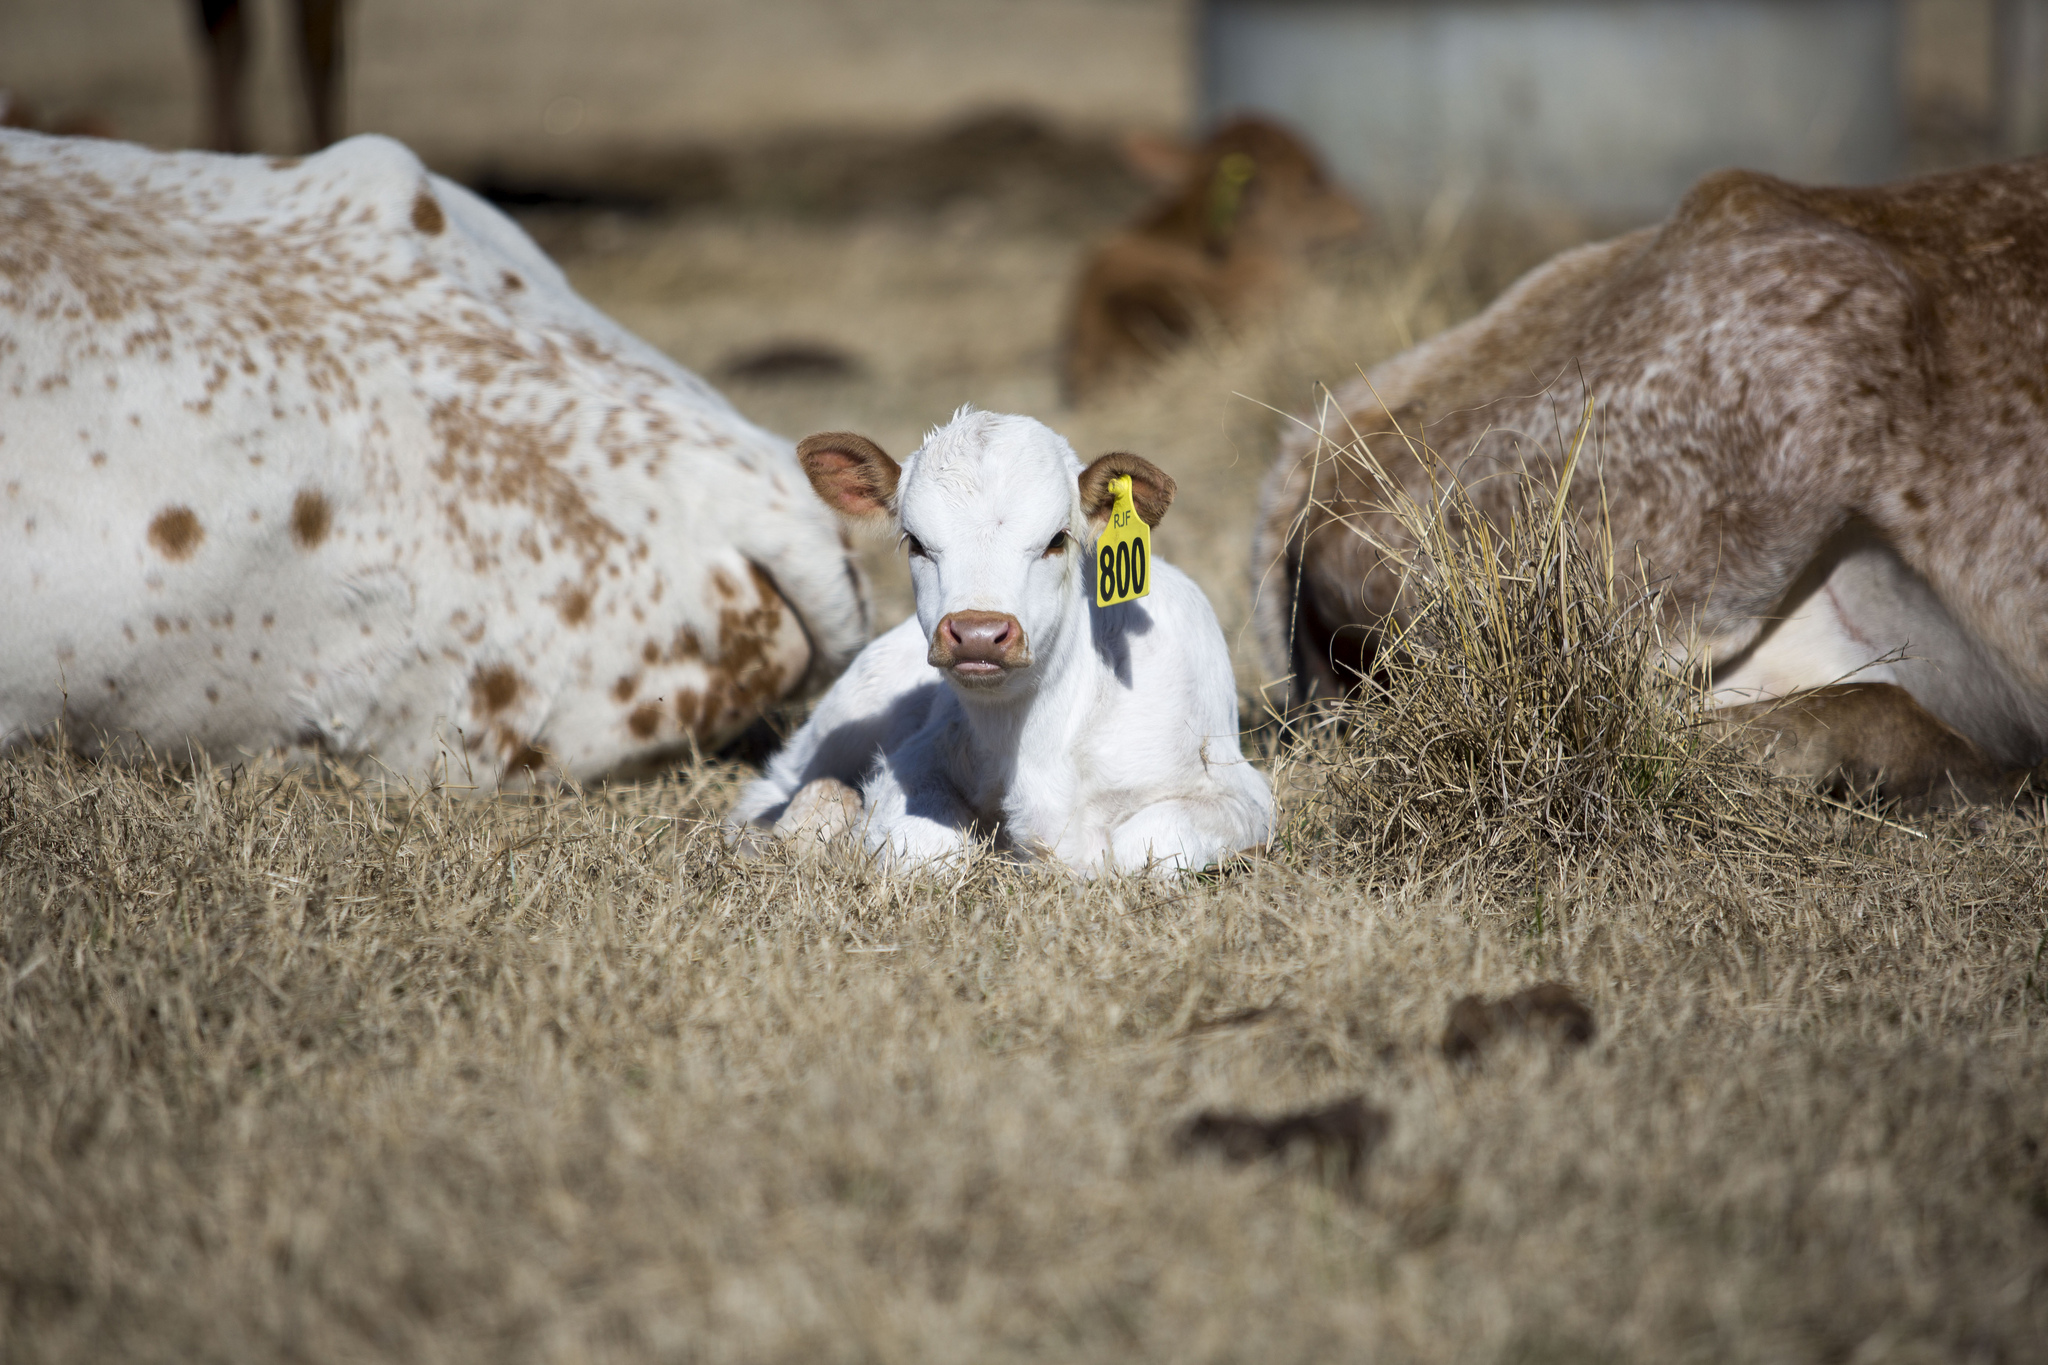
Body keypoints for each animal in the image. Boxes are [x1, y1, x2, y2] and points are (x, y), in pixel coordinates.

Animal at [729, 409, 1269, 875]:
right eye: (915, 542)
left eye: (1058, 539)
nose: (978, 634)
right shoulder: (914, 760)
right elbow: (925, 846)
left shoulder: (1241, 793)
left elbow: (1146, 844)